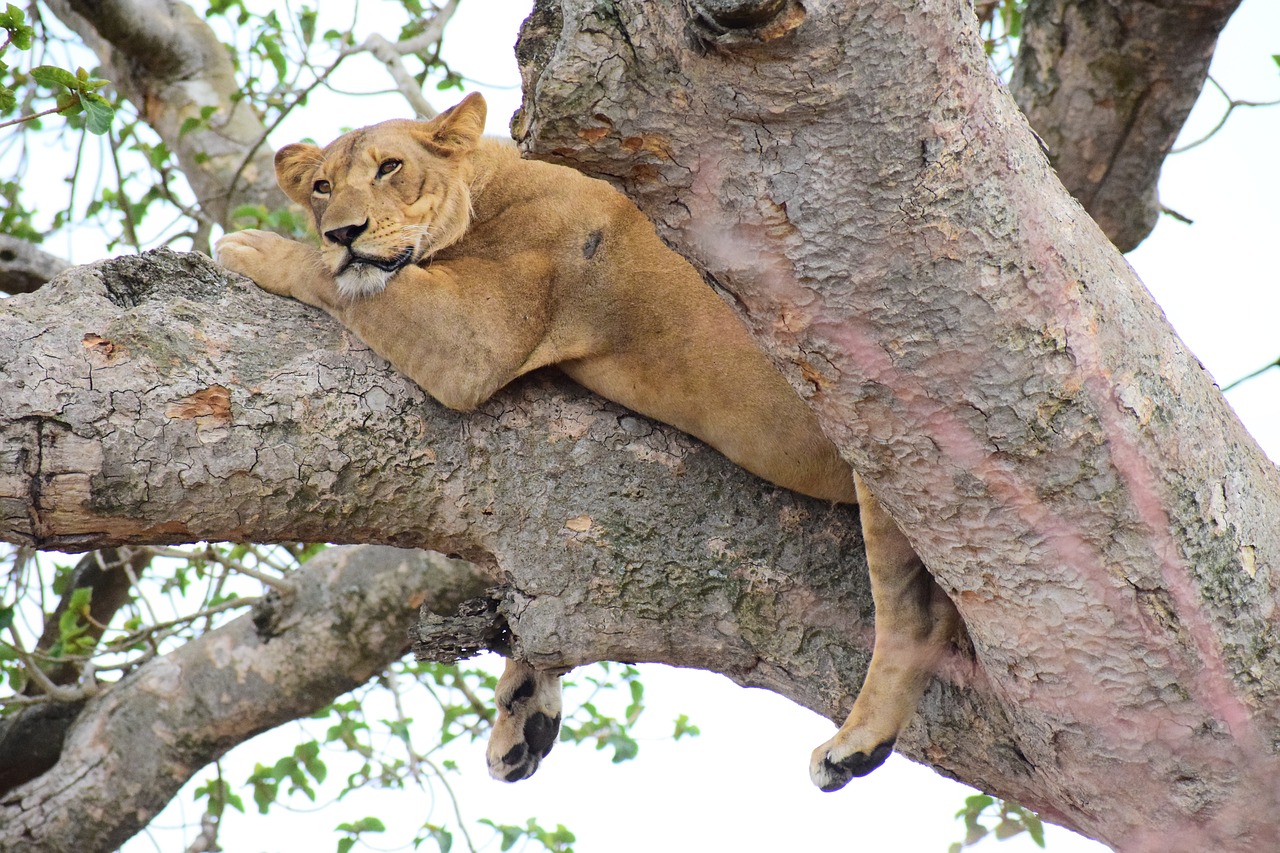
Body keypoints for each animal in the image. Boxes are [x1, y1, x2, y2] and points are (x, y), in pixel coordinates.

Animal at [214, 93, 960, 792]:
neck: (485, 187)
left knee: (918, 621)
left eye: (389, 167)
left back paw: (853, 746)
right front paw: (524, 707)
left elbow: (343, 283)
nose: (342, 231)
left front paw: (254, 246)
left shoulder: (474, 336)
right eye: (321, 185)